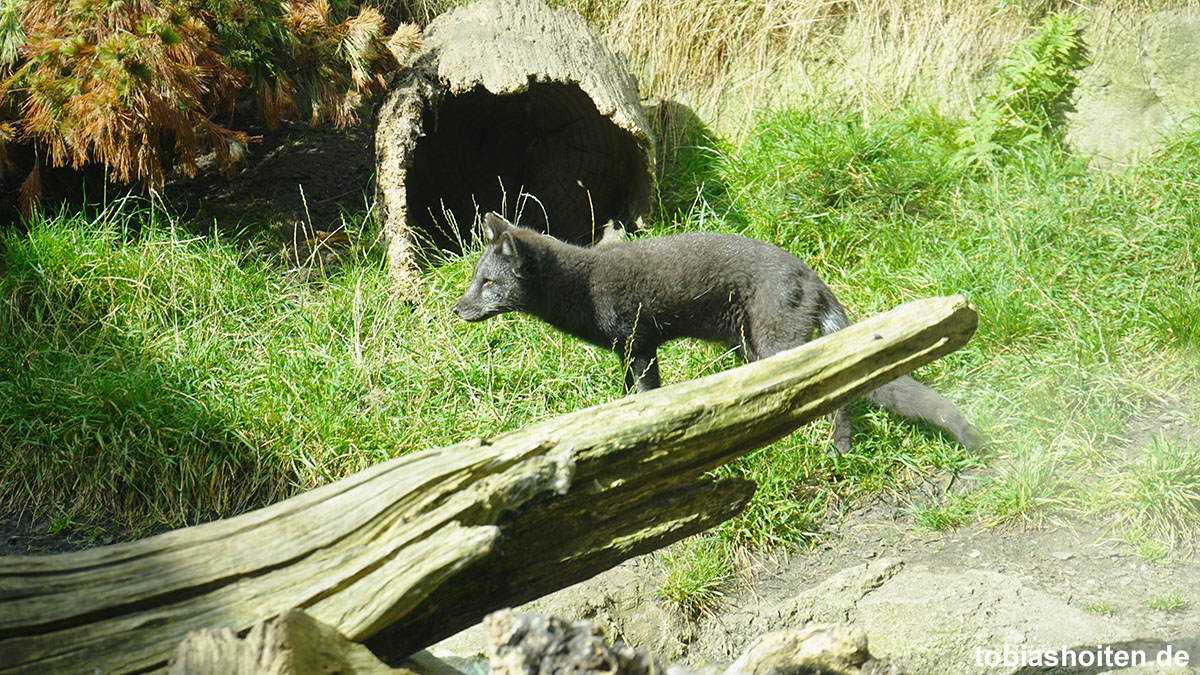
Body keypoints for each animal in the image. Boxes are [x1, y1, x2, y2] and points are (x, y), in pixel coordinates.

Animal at [453, 211, 979, 451]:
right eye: (475, 278)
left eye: (489, 283)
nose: (457, 309)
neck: (585, 289)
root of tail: (811, 276)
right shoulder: (626, 349)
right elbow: (627, 396)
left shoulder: (640, 341)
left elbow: (647, 393)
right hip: (750, 347)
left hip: (775, 342)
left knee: (836, 393)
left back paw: (836, 448)